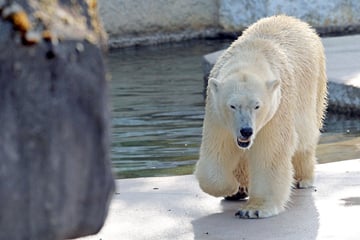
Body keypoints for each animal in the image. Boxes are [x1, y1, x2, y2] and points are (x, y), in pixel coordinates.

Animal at [195, 14, 328, 218]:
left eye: (257, 106)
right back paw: (240, 189)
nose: (246, 131)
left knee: (305, 138)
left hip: (314, 84)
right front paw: (232, 187)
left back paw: (302, 178)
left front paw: (254, 209)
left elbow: (270, 152)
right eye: (232, 105)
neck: (250, 55)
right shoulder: (216, 113)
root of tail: (296, 21)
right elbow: (217, 150)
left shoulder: (277, 109)